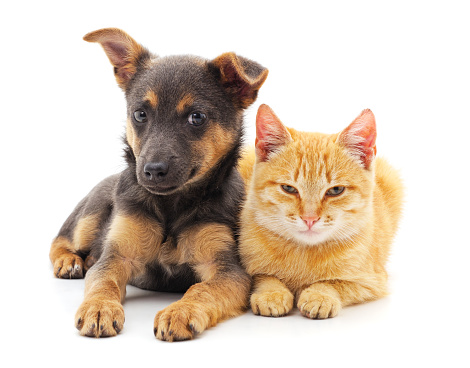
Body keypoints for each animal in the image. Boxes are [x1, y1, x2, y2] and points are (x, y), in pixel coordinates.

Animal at [50, 28, 268, 342]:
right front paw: (99, 307)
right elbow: (103, 281)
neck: (171, 206)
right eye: (140, 114)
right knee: (61, 240)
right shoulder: (117, 256)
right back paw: (70, 262)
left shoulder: (226, 269)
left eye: (196, 117)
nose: (152, 171)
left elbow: (201, 289)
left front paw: (181, 311)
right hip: (89, 217)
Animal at [239, 104, 404, 320]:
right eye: (288, 188)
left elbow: (335, 282)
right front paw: (272, 293)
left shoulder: (371, 281)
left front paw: (320, 295)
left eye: (336, 190)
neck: (304, 253)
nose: (310, 219)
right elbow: (263, 275)